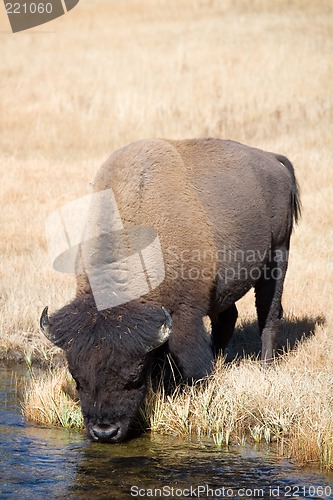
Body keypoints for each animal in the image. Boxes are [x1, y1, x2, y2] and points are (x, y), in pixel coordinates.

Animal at [40, 137, 300, 442]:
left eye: (134, 377)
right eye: (77, 377)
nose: (104, 432)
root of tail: (272, 159)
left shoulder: (184, 315)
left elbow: (190, 358)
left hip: (278, 254)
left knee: (269, 314)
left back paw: (265, 366)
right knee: (227, 319)